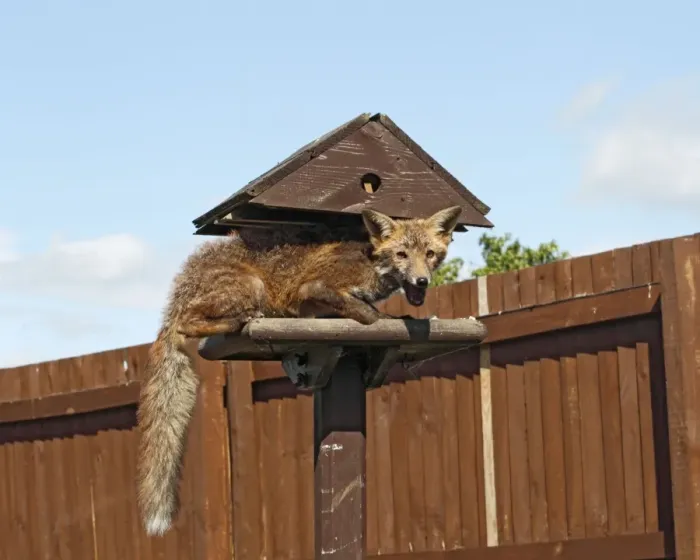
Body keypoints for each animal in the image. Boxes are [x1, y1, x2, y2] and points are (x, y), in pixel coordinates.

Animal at [136, 205, 463, 535]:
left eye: (430, 254)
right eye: (401, 254)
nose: (422, 281)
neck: (371, 265)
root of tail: (182, 281)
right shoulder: (314, 288)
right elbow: (368, 313)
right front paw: (387, 320)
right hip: (250, 287)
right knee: (187, 323)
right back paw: (240, 320)